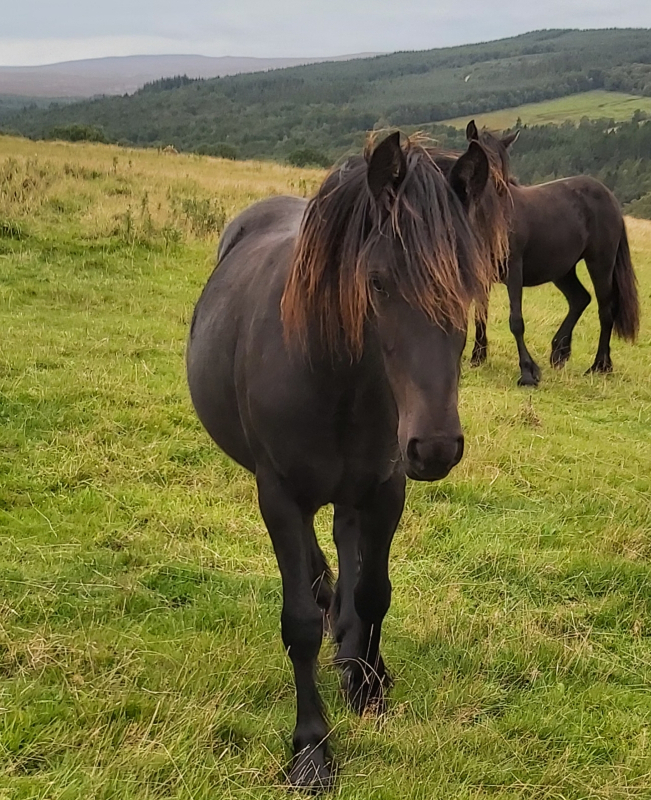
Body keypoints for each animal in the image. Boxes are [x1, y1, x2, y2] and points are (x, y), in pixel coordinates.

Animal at [186, 134, 506, 792]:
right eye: (377, 282)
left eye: (470, 282)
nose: (436, 447)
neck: (332, 374)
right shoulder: (279, 495)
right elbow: (300, 623)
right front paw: (311, 749)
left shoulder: (384, 489)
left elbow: (375, 592)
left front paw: (368, 683)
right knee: (317, 567)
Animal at [466, 120, 640, 390]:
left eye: (501, 165)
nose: (494, 192)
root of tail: (608, 195)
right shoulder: (480, 276)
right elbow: (480, 316)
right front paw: (478, 357)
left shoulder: (514, 273)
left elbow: (516, 321)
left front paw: (527, 372)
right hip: (563, 270)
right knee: (580, 299)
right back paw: (560, 351)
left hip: (600, 263)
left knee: (605, 309)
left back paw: (599, 365)